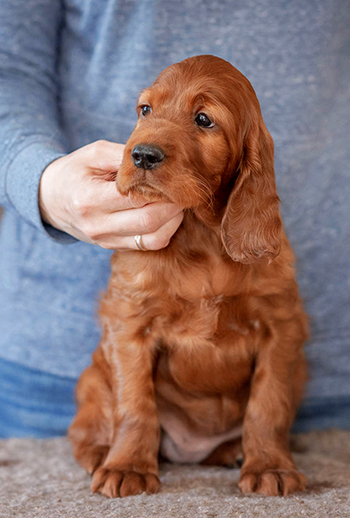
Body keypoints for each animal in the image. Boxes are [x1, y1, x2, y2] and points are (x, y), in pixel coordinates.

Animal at [69, 55, 308, 500]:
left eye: (203, 119)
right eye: (145, 110)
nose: (141, 155)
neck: (201, 234)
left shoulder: (281, 327)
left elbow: (268, 404)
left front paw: (271, 466)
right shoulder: (129, 324)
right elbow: (134, 403)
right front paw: (127, 466)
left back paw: (234, 452)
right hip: (92, 375)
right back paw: (100, 452)